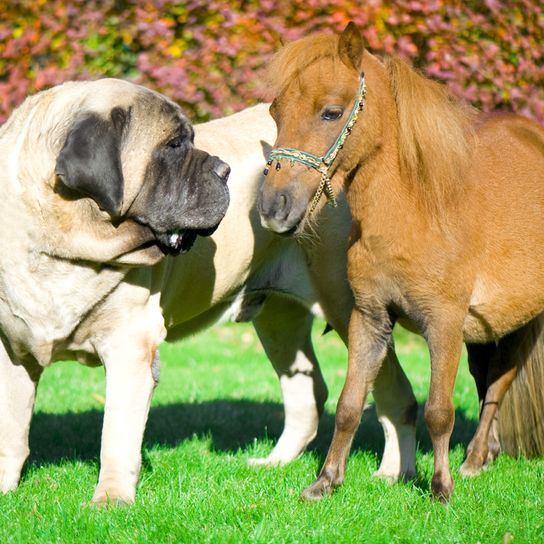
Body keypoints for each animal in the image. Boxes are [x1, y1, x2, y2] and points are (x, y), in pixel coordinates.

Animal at [0, 79, 230, 506]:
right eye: (174, 145)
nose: (226, 170)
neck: (65, 248)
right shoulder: (11, 349)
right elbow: (10, 427)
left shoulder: (130, 347)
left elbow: (117, 434)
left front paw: (110, 499)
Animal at [258, 22, 544, 502]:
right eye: (276, 113)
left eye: (330, 113)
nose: (273, 207)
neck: (415, 211)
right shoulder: (370, 319)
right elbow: (350, 404)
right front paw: (325, 482)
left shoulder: (443, 324)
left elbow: (439, 412)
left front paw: (441, 489)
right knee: (488, 377)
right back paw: (484, 456)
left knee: (500, 381)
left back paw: (471, 461)